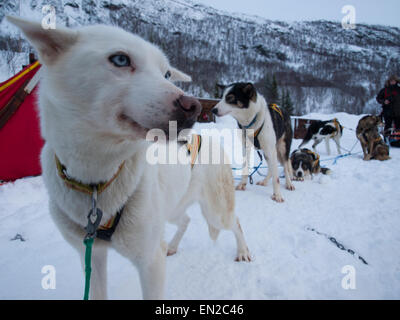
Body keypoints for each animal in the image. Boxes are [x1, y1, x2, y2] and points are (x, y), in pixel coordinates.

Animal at [8, 15, 250, 300]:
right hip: (171, 210)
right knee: (185, 220)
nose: (194, 107)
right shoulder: (91, 255)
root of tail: (210, 141)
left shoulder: (150, 262)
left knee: (235, 222)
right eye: (121, 59)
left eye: (166, 73)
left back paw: (243, 251)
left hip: (215, 211)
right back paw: (172, 245)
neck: (98, 179)